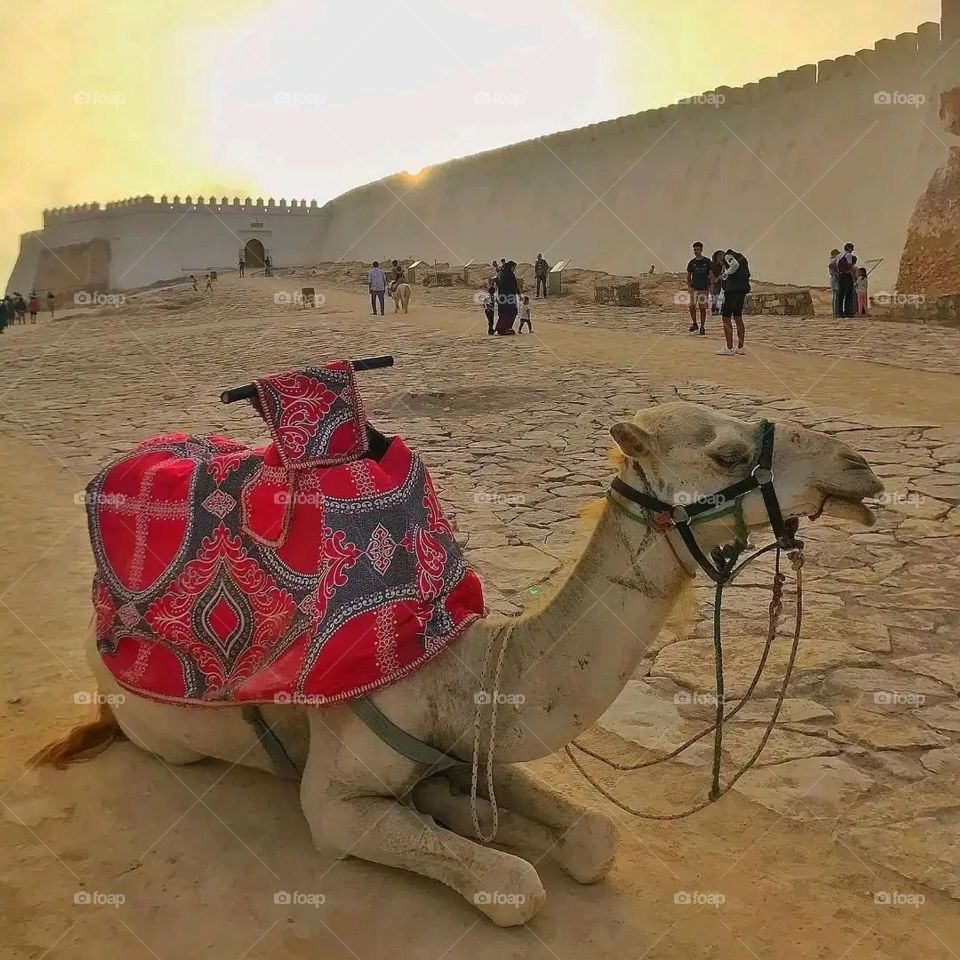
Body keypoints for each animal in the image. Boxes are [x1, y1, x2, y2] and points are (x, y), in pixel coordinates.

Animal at [35, 402, 882, 926]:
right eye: (728, 453)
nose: (859, 466)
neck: (454, 672)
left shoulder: (475, 738)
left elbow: (592, 836)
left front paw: (468, 808)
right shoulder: (334, 802)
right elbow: (516, 887)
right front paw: (475, 836)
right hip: (158, 733)